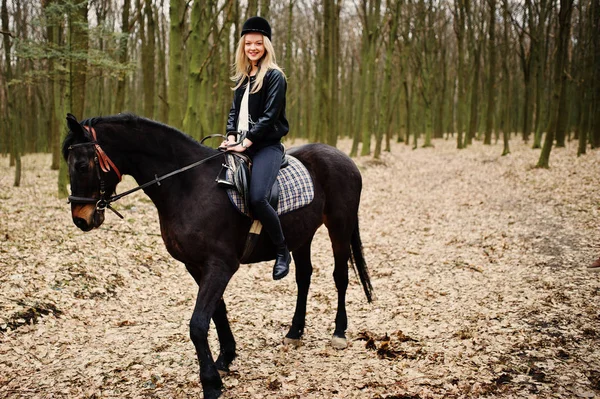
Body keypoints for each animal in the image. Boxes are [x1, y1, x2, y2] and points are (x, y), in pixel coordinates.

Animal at [61, 113, 370, 399]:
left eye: (82, 165)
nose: (80, 219)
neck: (188, 185)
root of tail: (343, 157)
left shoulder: (221, 265)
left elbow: (198, 324)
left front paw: (211, 383)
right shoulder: (196, 265)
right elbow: (217, 312)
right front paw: (226, 357)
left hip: (339, 226)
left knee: (340, 276)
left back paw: (339, 333)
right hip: (302, 235)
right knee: (304, 277)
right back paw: (294, 332)